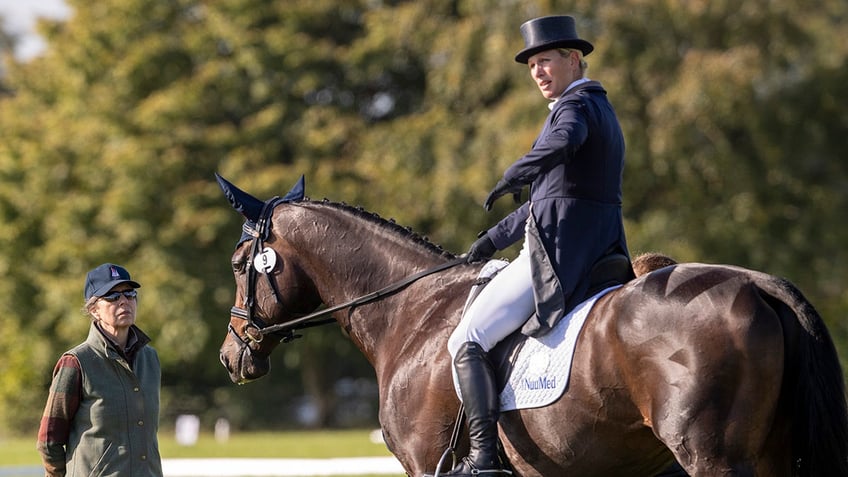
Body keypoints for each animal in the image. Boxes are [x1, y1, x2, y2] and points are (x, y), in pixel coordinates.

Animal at [217, 176, 848, 476]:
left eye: (238, 263)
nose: (231, 354)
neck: (411, 313)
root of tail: (759, 283)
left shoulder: (423, 465)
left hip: (714, 458)